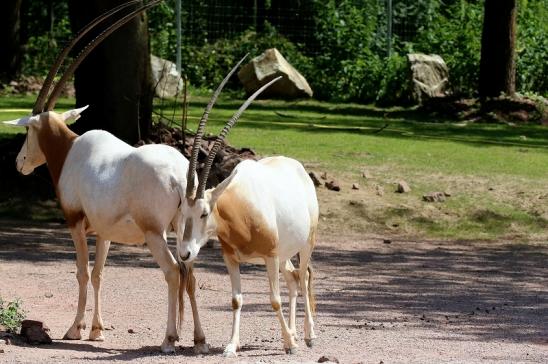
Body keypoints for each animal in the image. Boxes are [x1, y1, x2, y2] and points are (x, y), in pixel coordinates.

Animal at [176, 82, 318, 356]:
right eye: (181, 213)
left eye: (204, 212)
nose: (185, 253)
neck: (239, 210)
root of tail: (298, 168)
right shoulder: (231, 259)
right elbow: (236, 300)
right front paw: (231, 346)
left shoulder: (270, 257)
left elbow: (274, 300)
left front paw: (289, 345)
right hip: (284, 254)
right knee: (294, 279)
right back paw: (295, 333)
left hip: (306, 244)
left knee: (304, 276)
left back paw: (308, 336)